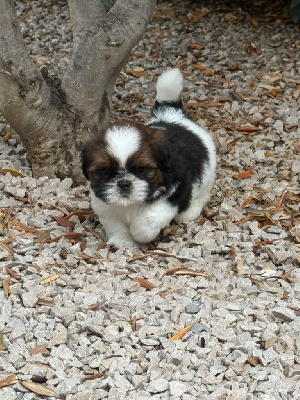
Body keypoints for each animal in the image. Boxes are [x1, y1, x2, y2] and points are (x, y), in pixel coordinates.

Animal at [81, 70, 216, 248]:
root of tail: (172, 115)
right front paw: (123, 241)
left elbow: (153, 216)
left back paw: (190, 211)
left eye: (142, 169)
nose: (124, 183)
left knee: (202, 192)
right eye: (104, 171)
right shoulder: (106, 207)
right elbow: (116, 224)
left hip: (208, 173)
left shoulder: (176, 190)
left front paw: (139, 232)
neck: (131, 204)